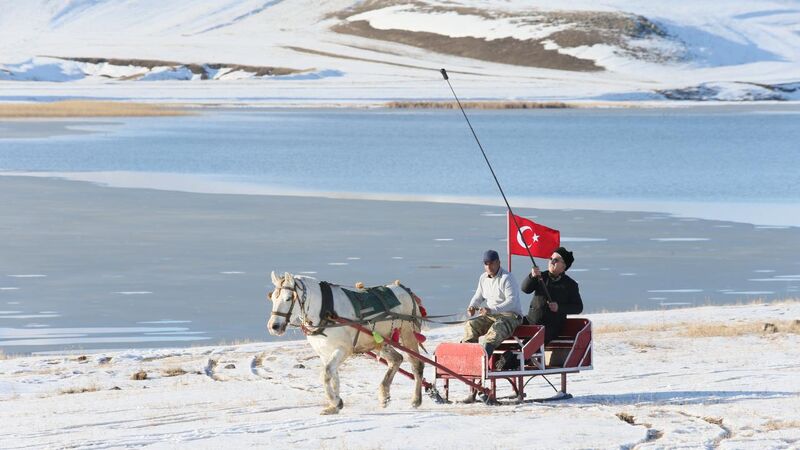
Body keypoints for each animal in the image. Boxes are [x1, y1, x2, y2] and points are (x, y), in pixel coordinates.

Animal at [268, 270, 424, 414]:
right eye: (273, 298)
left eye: (288, 298)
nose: (274, 326)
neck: (324, 310)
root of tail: (405, 290)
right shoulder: (325, 352)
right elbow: (333, 376)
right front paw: (335, 405)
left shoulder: (343, 349)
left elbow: (325, 374)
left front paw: (334, 401)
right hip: (378, 341)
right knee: (396, 359)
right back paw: (384, 395)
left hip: (408, 334)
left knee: (417, 364)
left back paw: (416, 400)